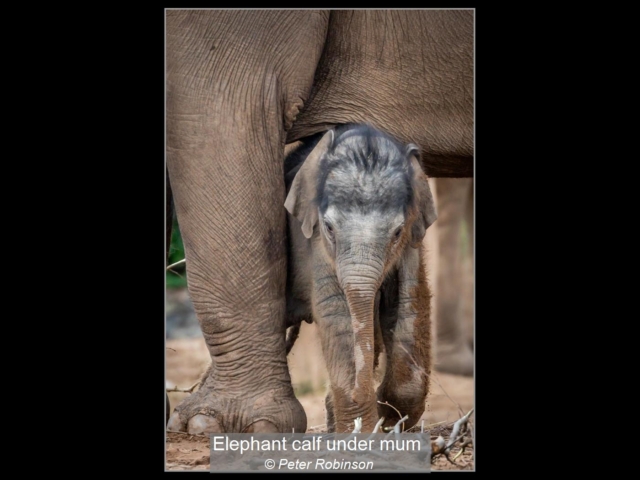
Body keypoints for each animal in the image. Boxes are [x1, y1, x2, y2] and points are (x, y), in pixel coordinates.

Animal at [283, 124, 436, 432]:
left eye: (397, 232)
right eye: (329, 228)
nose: (360, 391)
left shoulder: (412, 243)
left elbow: (409, 305)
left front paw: (386, 419)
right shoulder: (314, 243)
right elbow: (337, 313)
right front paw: (361, 432)